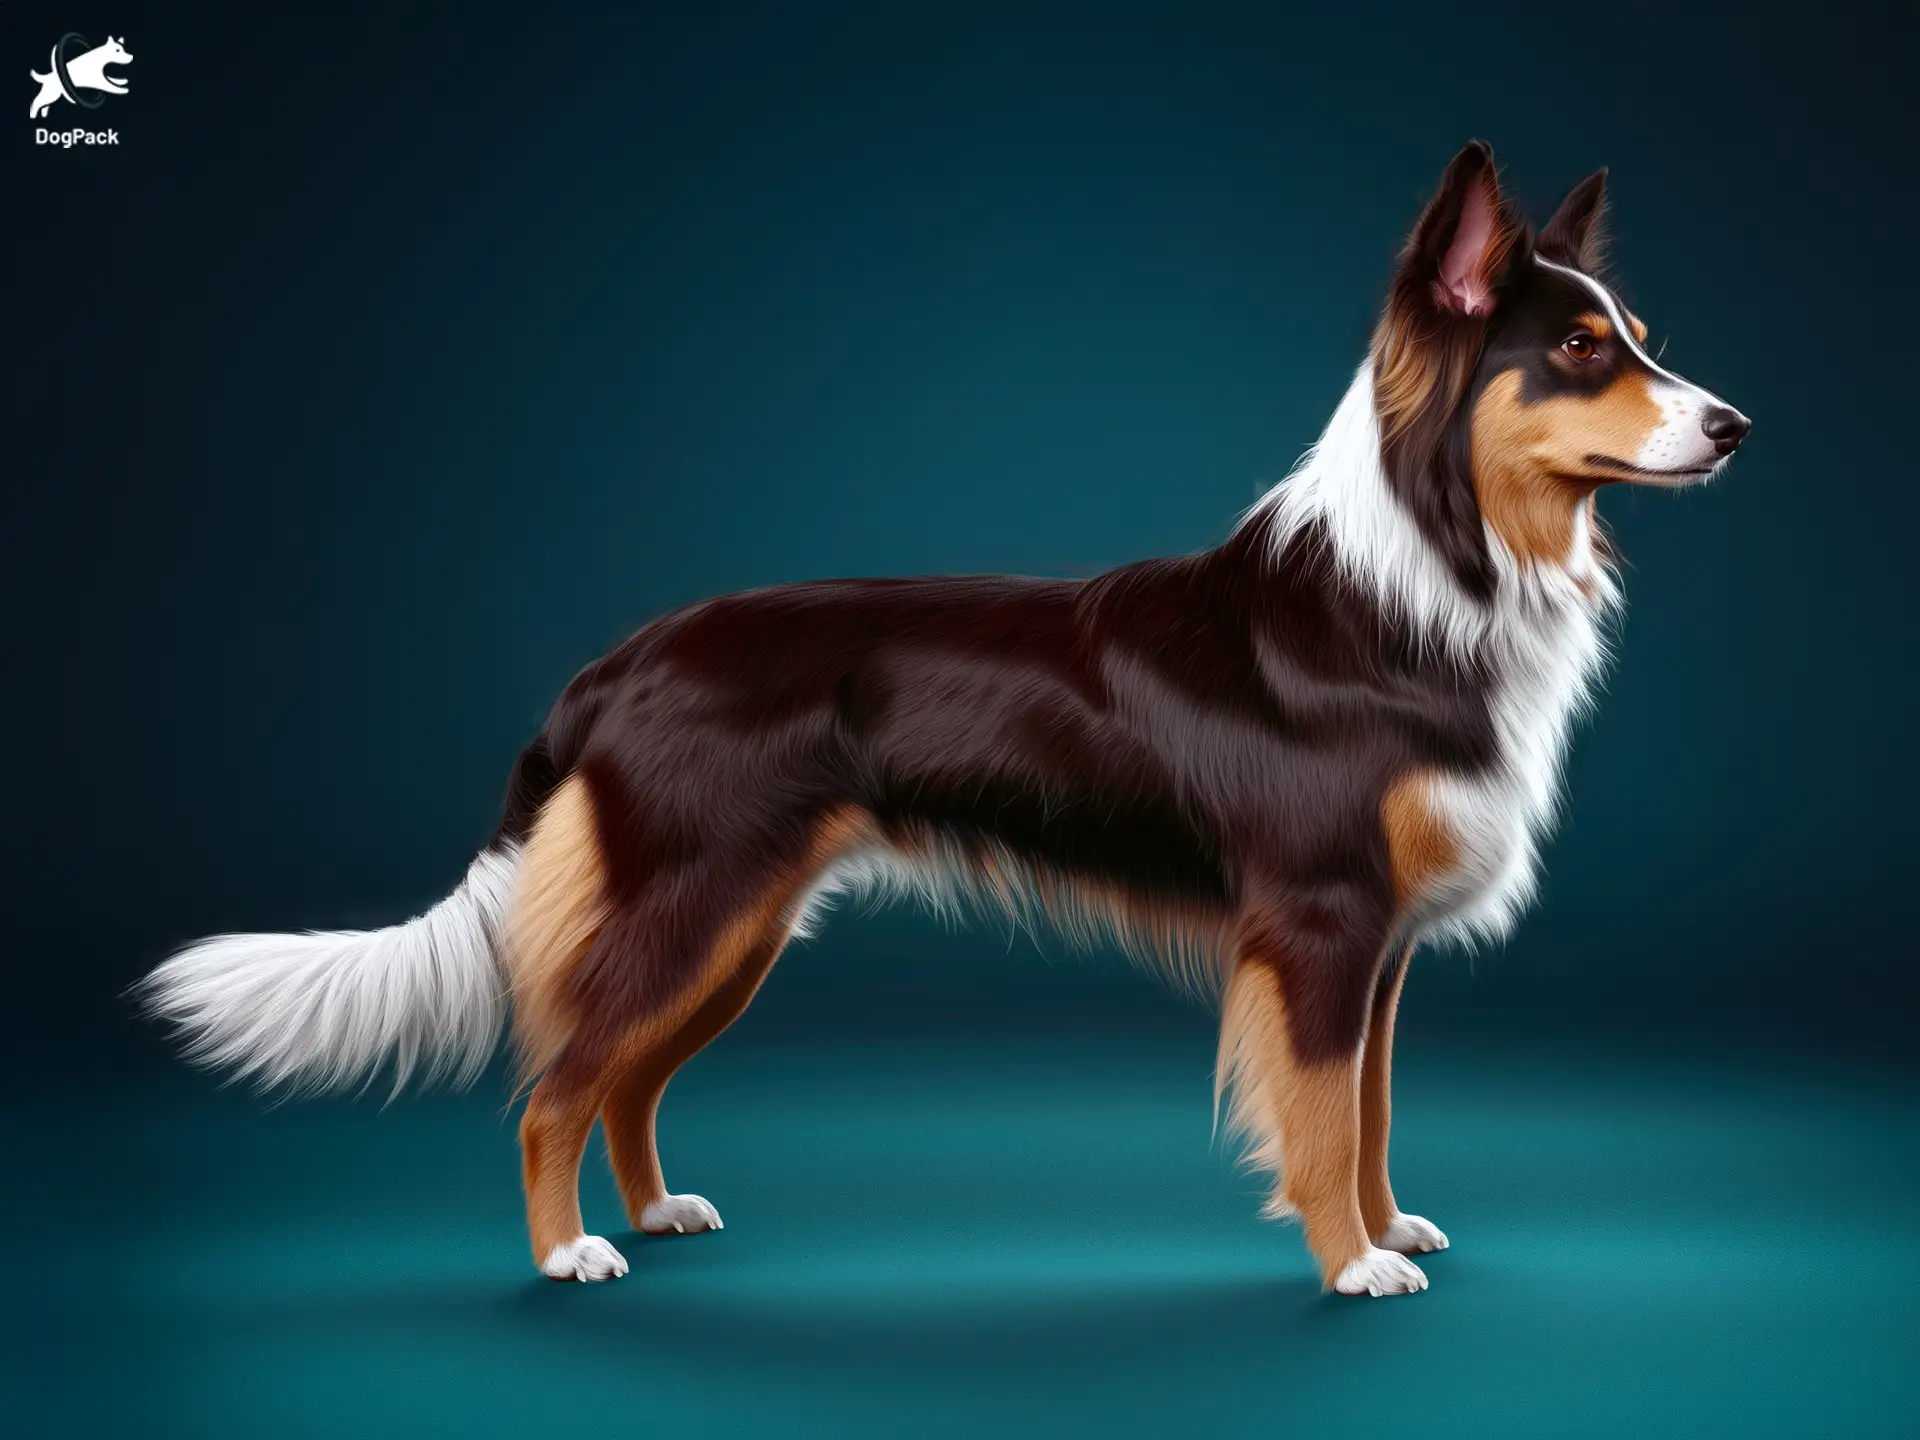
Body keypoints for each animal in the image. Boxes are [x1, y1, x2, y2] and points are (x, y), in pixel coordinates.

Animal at [142, 144, 1751, 1297]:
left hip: (740, 924)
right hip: (694, 895)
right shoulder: (1322, 921)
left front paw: (1388, 1227)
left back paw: (657, 1213)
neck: (1436, 567)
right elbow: (1319, 1112)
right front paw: (1350, 1265)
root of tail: (611, 665)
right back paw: (569, 1253)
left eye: (1640, 337)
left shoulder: (1382, 946)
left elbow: (1371, 1111)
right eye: (1583, 352)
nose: (1736, 425)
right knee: (556, 1085)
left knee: (624, 1079)